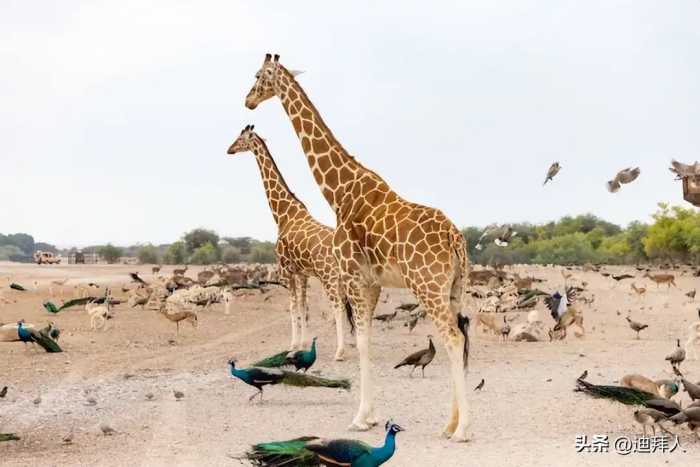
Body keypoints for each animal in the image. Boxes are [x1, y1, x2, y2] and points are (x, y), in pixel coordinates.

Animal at [228, 124, 350, 362]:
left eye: (240, 138)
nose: (229, 150)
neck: (283, 214)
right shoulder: (302, 273)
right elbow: (303, 307)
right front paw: (303, 343)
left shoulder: (286, 270)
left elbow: (293, 307)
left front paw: (293, 345)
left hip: (329, 278)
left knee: (338, 307)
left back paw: (340, 352)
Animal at [245, 54, 470, 442]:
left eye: (259, 76)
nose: (248, 100)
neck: (339, 193)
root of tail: (455, 239)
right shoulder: (372, 282)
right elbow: (366, 340)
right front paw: (370, 416)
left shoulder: (353, 278)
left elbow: (362, 342)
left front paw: (360, 418)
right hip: (454, 288)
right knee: (456, 338)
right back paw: (449, 424)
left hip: (428, 287)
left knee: (454, 340)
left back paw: (462, 430)